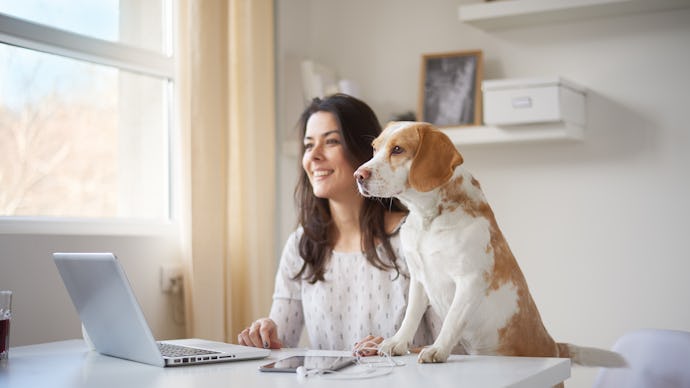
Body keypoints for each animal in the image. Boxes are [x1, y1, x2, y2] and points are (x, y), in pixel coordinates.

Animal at [354, 123, 624, 368]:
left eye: (397, 149)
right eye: (374, 148)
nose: (358, 175)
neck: (427, 220)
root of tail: (555, 347)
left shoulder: (470, 280)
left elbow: (451, 320)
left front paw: (438, 349)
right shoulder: (419, 279)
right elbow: (410, 317)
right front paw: (396, 343)